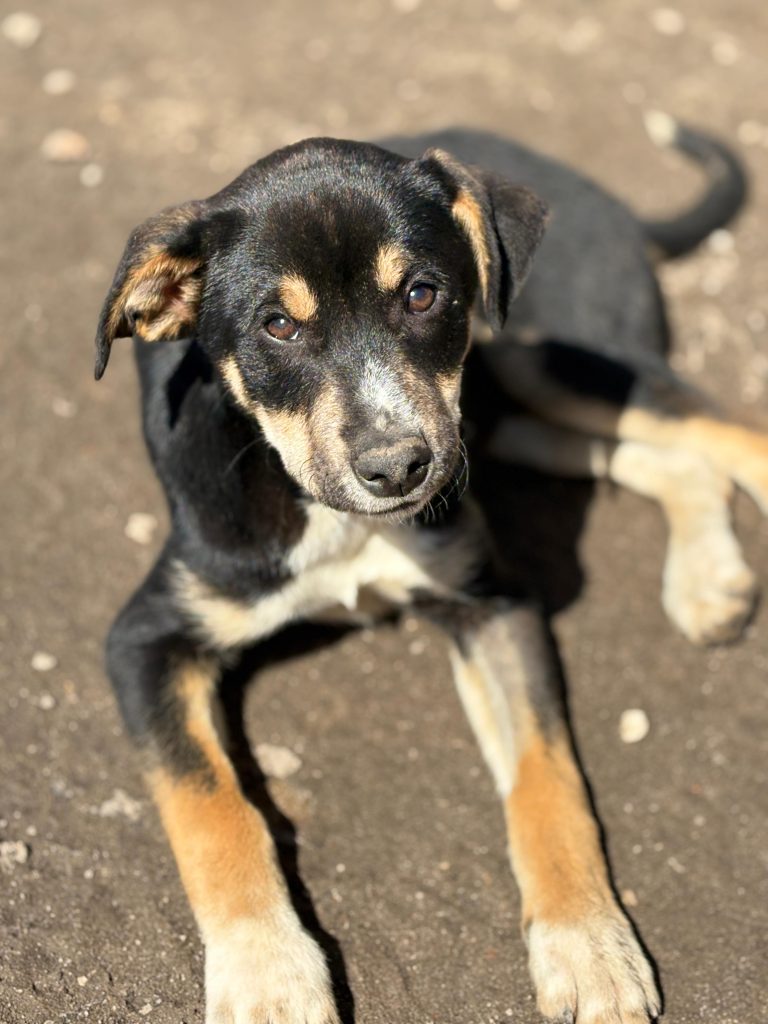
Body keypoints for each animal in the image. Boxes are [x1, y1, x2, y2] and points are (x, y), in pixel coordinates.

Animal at [95, 115, 760, 1023]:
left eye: (421, 295)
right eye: (277, 326)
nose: (397, 467)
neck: (331, 516)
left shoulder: (492, 600)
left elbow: (546, 781)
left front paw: (588, 945)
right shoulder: (148, 637)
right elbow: (211, 805)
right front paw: (269, 975)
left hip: (551, 358)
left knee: (728, 434)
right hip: (507, 415)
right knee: (679, 461)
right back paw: (707, 583)